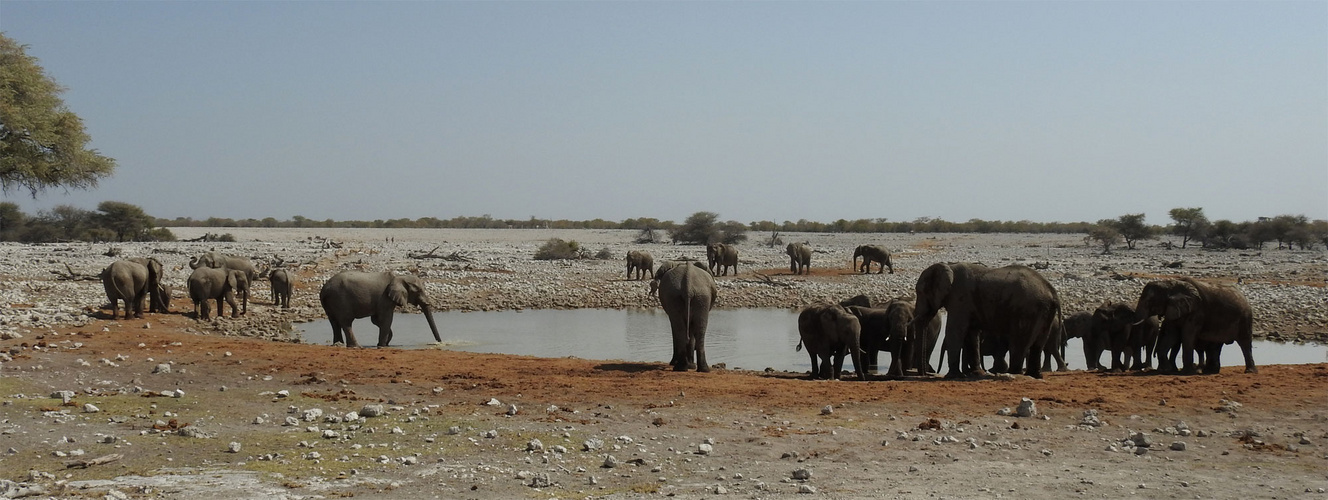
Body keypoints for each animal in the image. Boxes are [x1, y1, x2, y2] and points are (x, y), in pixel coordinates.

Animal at [913, 261, 1057, 376]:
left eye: (919, 292)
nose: (925, 374)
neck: (949, 267)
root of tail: (1051, 290)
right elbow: (971, 334)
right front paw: (976, 373)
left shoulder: (960, 298)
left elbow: (955, 330)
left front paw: (953, 376)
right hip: (1044, 312)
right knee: (1039, 343)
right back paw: (1034, 375)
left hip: (1028, 310)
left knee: (1019, 341)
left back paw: (1012, 373)